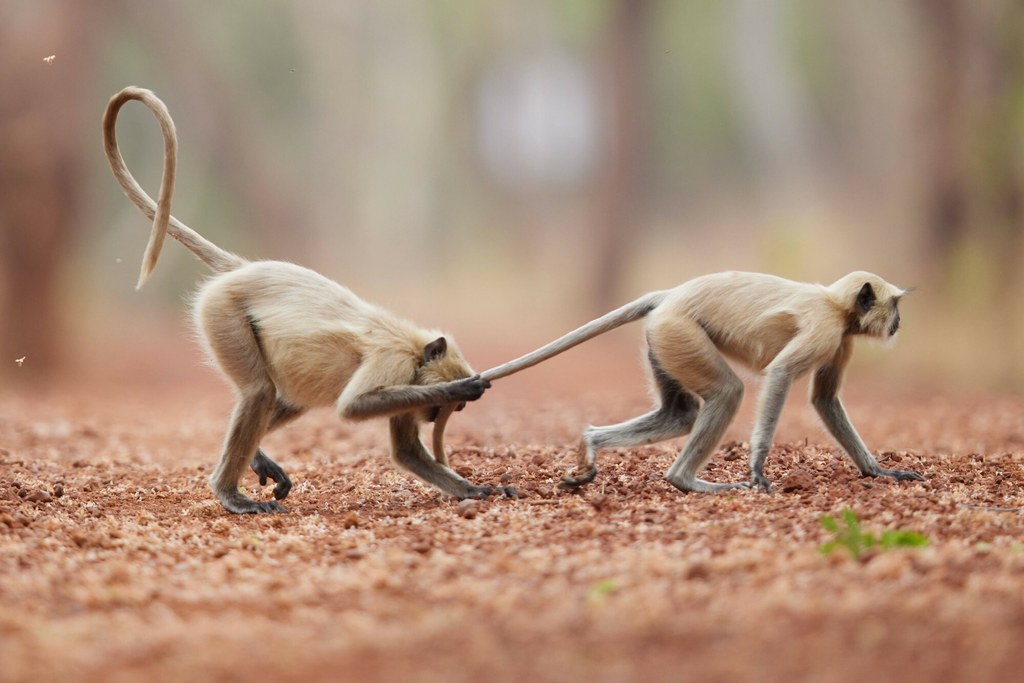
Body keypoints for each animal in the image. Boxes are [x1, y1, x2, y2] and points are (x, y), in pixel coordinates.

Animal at [103, 85, 512, 511]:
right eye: (448, 408)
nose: (435, 416)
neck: (414, 347)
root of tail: (245, 269)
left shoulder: (406, 382)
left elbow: (407, 453)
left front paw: (478, 490)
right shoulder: (396, 362)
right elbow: (352, 406)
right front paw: (459, 388)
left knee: (282, 397)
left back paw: (254, 460)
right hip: (221, 311)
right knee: (260, 392)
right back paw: (230, 493)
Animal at [481, 270, 929, 491]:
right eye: (894, 307)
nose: (899, 322)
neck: (835, 304)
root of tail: (669, 295)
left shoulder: (840, 338)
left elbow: (825, 400)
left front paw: (878, 473)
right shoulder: (825, 328)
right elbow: (781, 374)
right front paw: (757, 468)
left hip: (662, 339)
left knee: (680, 415)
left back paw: (591, 443)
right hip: (679, 332)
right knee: (728, 393)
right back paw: (686, 482)